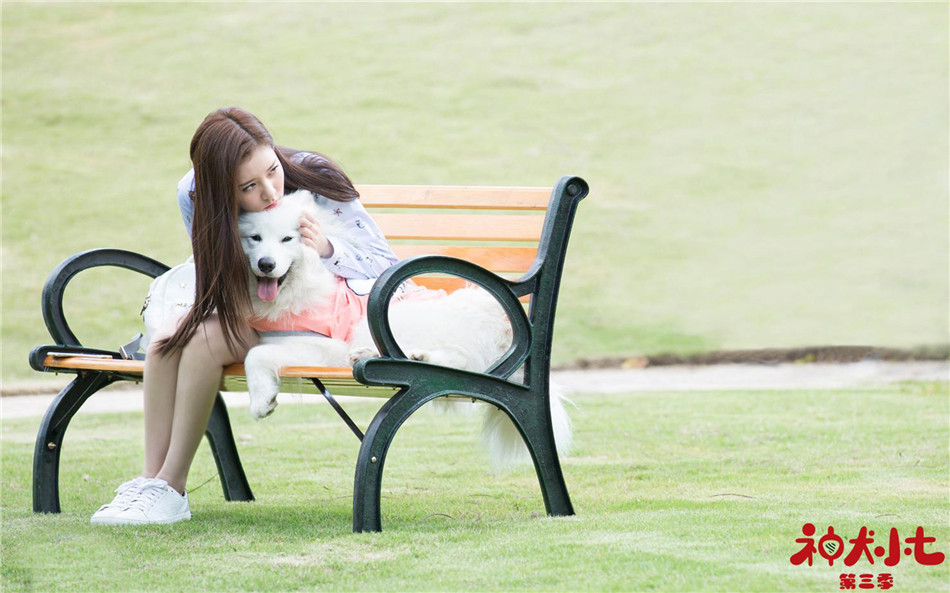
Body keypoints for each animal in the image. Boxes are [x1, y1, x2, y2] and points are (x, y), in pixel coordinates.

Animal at [239, 190, 571, 469]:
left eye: (287, 239)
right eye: (255, 238)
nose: (266, 264)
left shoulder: (324, 344)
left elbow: (256, 355)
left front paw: (261, 403)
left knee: (460, 363)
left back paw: (412, 357)